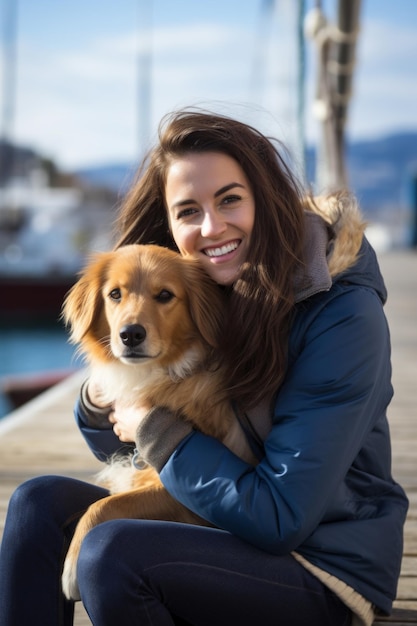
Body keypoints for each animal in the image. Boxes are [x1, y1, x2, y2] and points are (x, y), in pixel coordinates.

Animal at [61, 244, 254, 600]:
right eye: (115, 294)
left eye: (165, 295)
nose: (130, 334)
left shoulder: (183, 497)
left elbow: (103, 506)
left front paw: (71, 568)